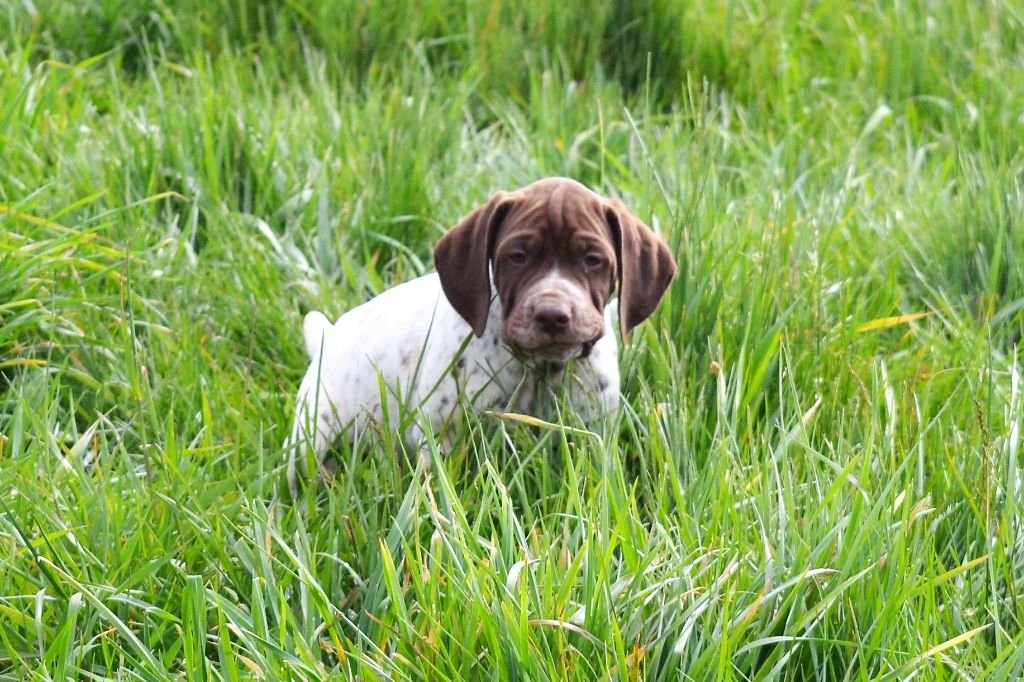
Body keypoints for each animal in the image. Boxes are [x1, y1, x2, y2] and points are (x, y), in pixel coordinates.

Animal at [286, 177, 676, 495]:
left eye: (592, 260)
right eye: (517, 257)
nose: (552, 314)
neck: (540, 367)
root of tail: (327, 336)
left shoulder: (592, 436)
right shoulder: (441, 439)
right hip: (313, 435)